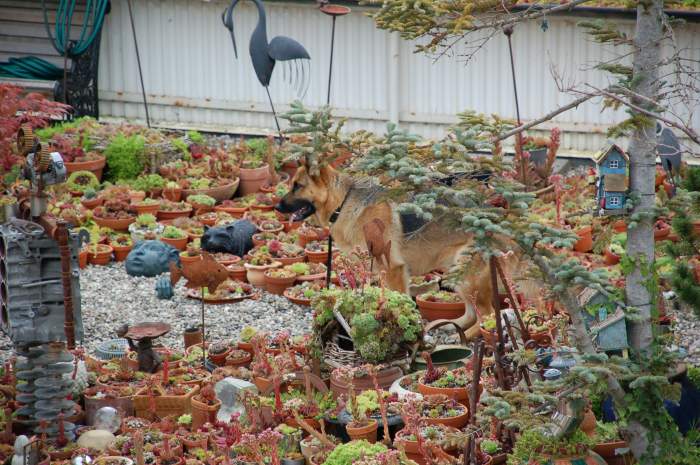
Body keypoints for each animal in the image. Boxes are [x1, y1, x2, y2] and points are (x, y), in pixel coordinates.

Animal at [276, 165, 516, 336]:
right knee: (472, 312)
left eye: (297, 186)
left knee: (487, 315)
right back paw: (453, 326)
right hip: (455, 274)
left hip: (465, 275)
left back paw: (466, 336)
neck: (342, 203)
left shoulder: (394, 270)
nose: (277, 207)